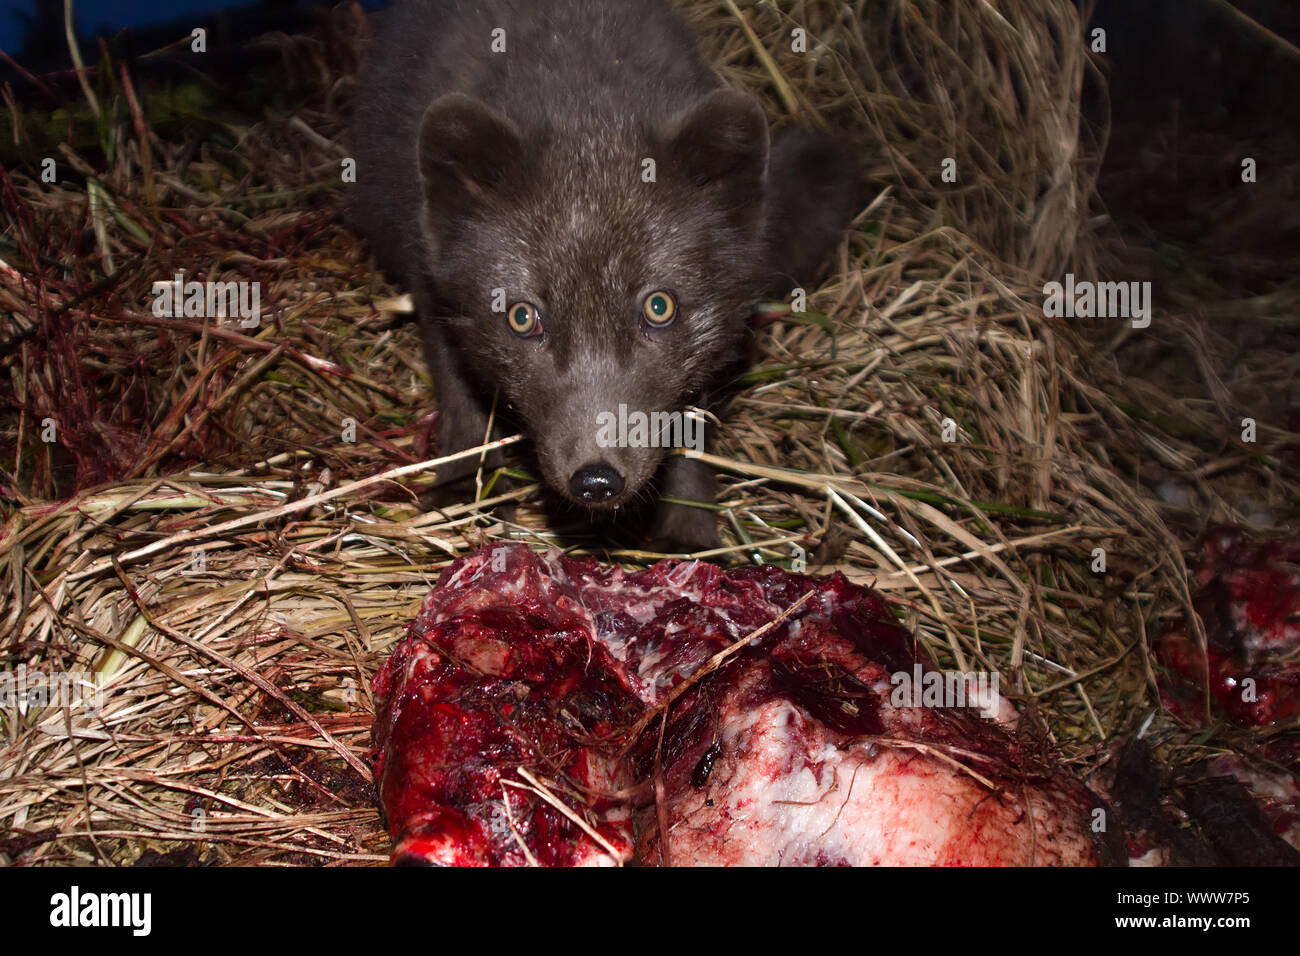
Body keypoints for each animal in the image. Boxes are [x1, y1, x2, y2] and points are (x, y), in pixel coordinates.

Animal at [351, 0, 857, 548]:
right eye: (522, 317)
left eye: (659, 307)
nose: (596, 481)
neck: (583, 99)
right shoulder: (430, 279)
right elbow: (460, 396)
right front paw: (466, 487)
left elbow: (690, 428)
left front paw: (688, 529)